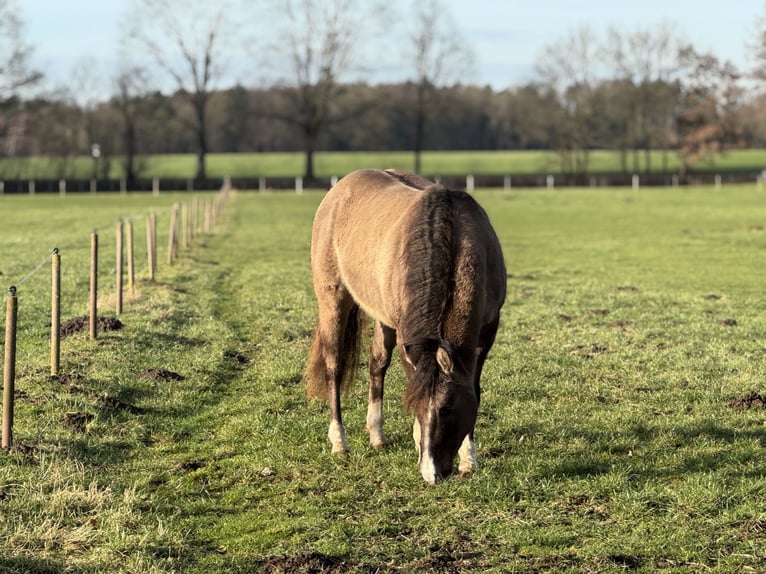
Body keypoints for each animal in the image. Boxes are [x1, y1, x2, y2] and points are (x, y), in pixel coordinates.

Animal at [306, 168, 506, 484]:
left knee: (377, 363)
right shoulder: (407, 336)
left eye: (447, 409)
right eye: (414, 406)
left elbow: (473, 386)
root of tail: (340, 187)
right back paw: (339, 442)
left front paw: (468, 460)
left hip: (382, 316)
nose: (431, 474)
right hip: (333, 297)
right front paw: (418, 441)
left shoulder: (487, 332)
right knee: (334, 365)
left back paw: (376, 435)